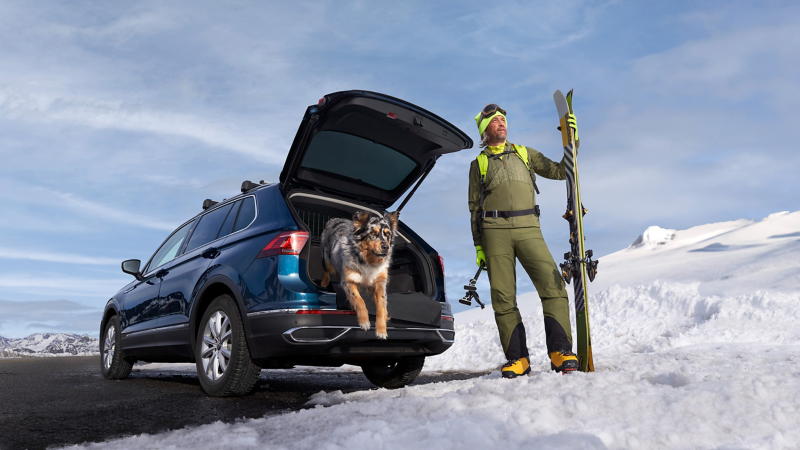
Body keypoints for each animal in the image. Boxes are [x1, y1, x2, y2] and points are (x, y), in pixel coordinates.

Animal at [320, 210, 400, 338]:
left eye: (388, 234)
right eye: (372, 233)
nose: (386, 247)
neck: (369, 261)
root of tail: (335, 219)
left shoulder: (380, 283)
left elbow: (381, 306)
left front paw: (381, 329)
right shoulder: (348, 281)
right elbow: (359, 300)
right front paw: (364, 321)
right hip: (326, 259)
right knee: (326, 271)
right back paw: (324, 283)